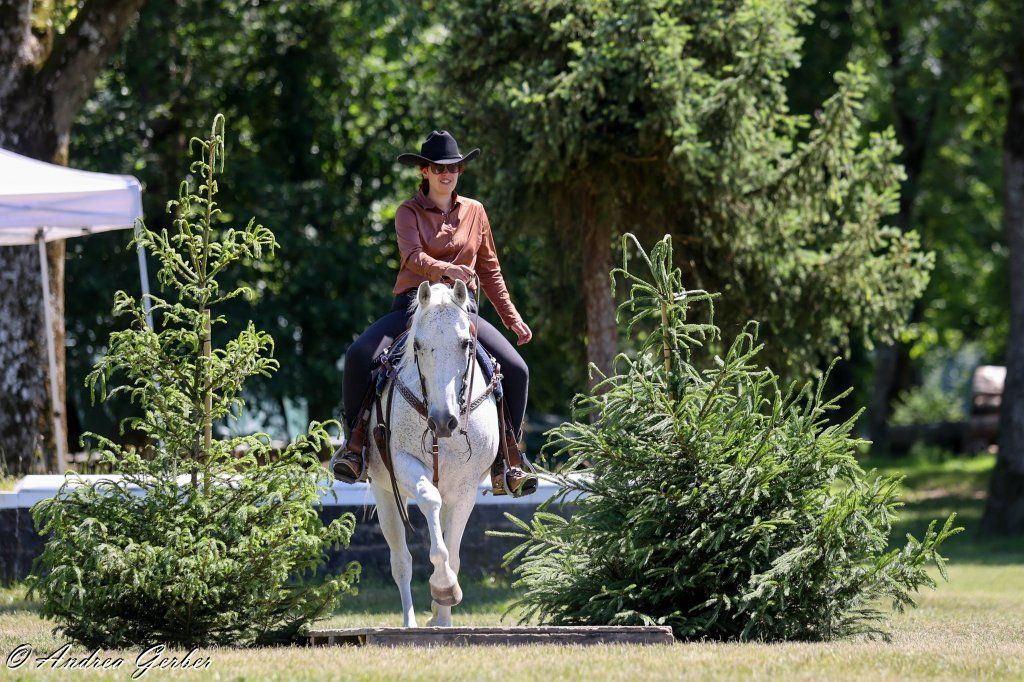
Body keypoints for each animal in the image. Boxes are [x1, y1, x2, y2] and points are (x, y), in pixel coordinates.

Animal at [365, 279, 500, 627]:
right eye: (419, 345)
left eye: (466, 343)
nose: (442, 421)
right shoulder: (403, 465)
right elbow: (430, 502)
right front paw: (443, 585)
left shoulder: (465, 488)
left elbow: (454, 554)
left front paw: (443, 618)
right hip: (385, 494)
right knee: (400, 561)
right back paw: (409, 623)